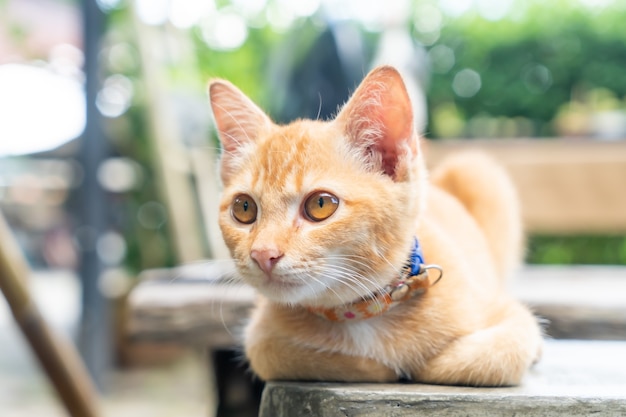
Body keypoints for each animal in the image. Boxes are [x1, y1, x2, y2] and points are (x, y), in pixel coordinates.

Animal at [208, 66, 540, 386]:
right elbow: (277, 353)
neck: (361, 314)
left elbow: (499, 355)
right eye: (244, 208)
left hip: (476, 170)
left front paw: (428, 364)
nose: (263, 254)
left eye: (320, 205)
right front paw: (377, 366)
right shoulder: (260, 335)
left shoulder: (511, 316)